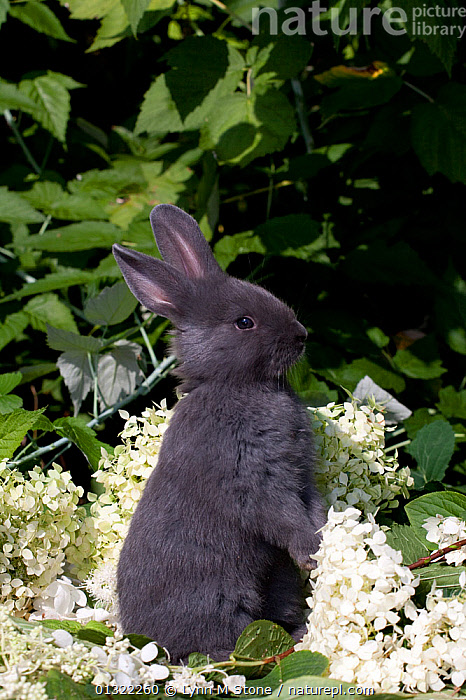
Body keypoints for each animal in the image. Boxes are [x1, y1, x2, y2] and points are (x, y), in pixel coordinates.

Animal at [112, 204, 326, 662]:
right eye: (244, 322)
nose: (301, 336)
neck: (234, 384)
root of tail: (141, 640)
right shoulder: (252, 478)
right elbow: (280, 517)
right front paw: (311, 554)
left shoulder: (301, 476)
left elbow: (312, 507)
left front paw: (325, 537)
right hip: (220, 598)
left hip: (275, 583)